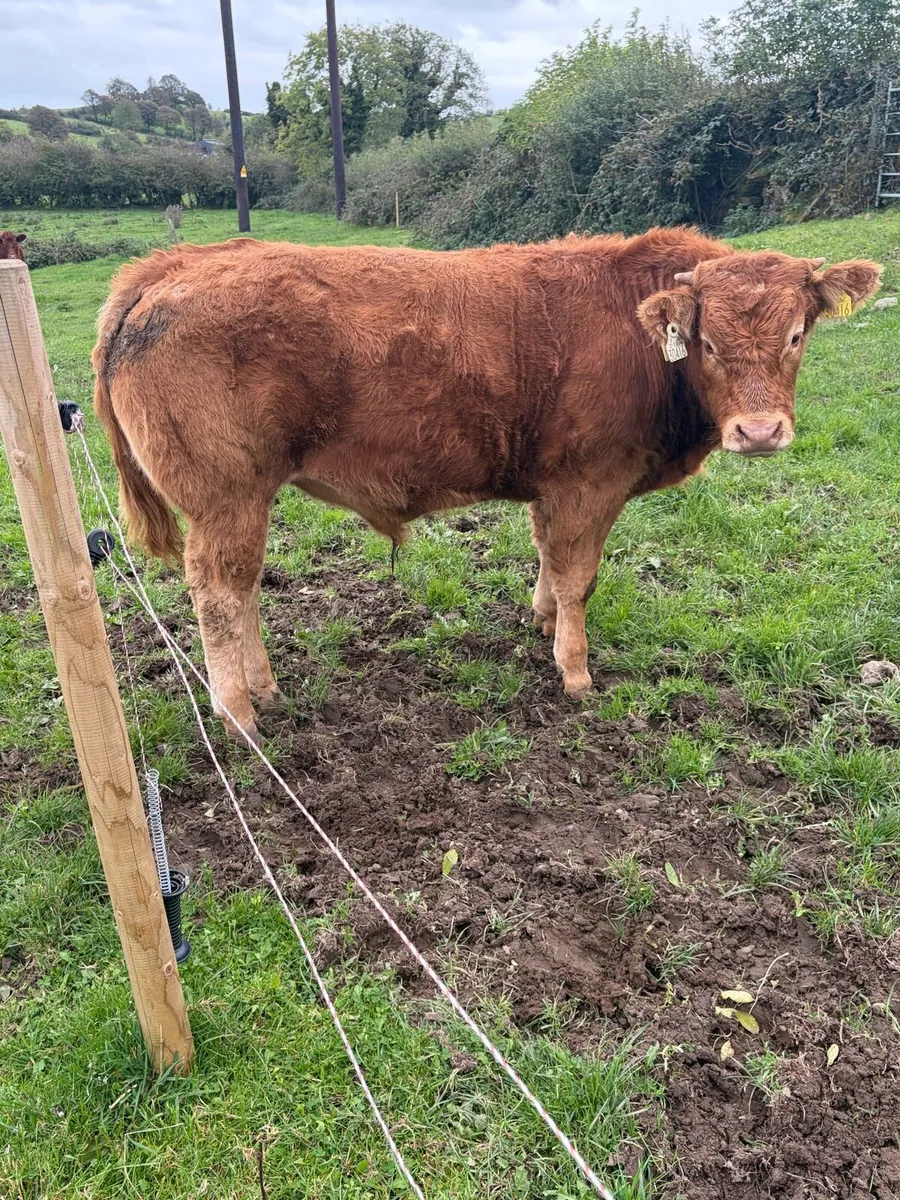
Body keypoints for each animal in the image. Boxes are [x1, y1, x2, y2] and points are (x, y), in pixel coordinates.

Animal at [92, 228, 881, 744]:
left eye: (796, 335)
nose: (760, 431)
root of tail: (169, 265)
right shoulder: (590, 483)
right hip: (225, 499)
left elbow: (548, 561)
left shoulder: (554, 487)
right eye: (709, 342)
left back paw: (264, 687)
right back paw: (240, 714)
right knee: (219, 595)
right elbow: (578, 576)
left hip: (243, 503)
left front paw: (541, 622)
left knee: (245, 589)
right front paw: (574, 671)